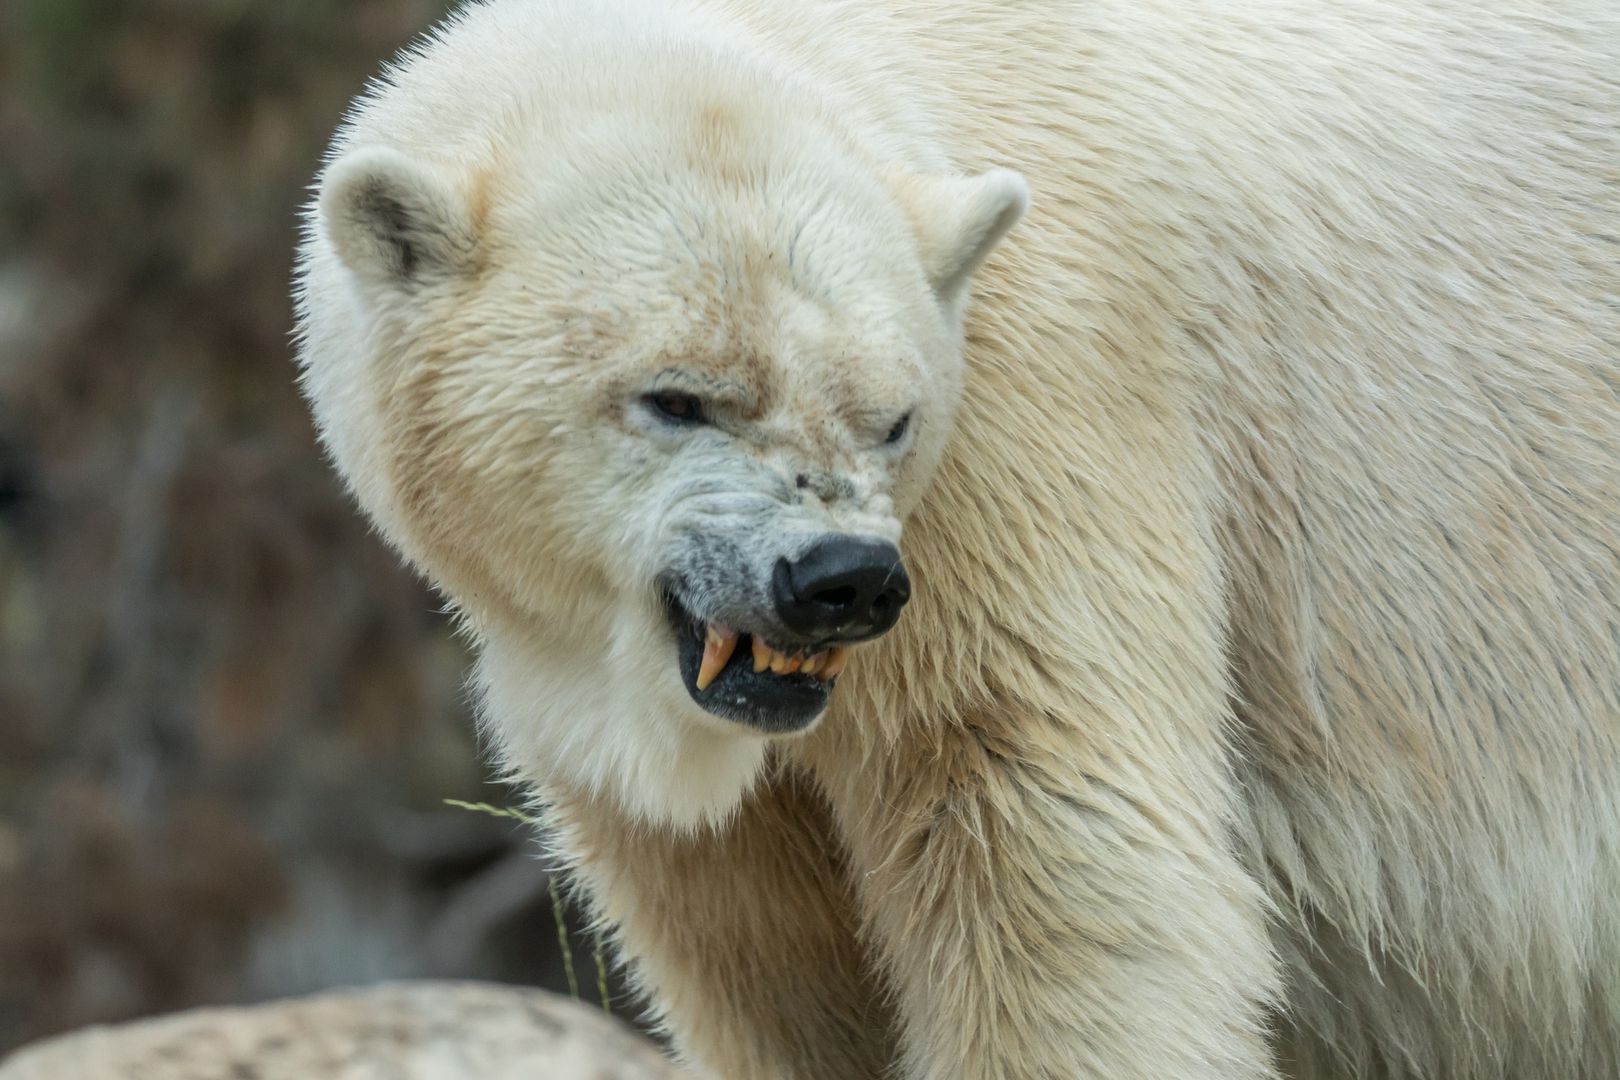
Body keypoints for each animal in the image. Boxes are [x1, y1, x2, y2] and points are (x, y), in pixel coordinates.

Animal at [294, 0, 1620, 1075]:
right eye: (678, 396)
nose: (838, 579)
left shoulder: (1033, 411)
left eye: (894, 418)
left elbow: (1046, 848)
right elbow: (772, 963)